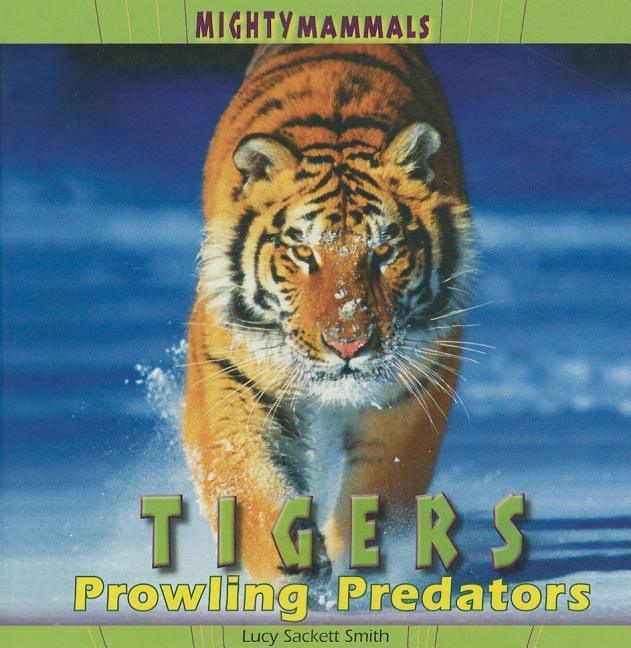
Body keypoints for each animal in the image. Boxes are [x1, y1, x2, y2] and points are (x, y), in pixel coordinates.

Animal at [183, 45, 474, 588]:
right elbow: (245, 483)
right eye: (302, 252)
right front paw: (293, 570)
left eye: (384, 251)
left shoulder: (417, 387)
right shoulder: (228, 375)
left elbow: (386, 486)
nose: (348, 344)